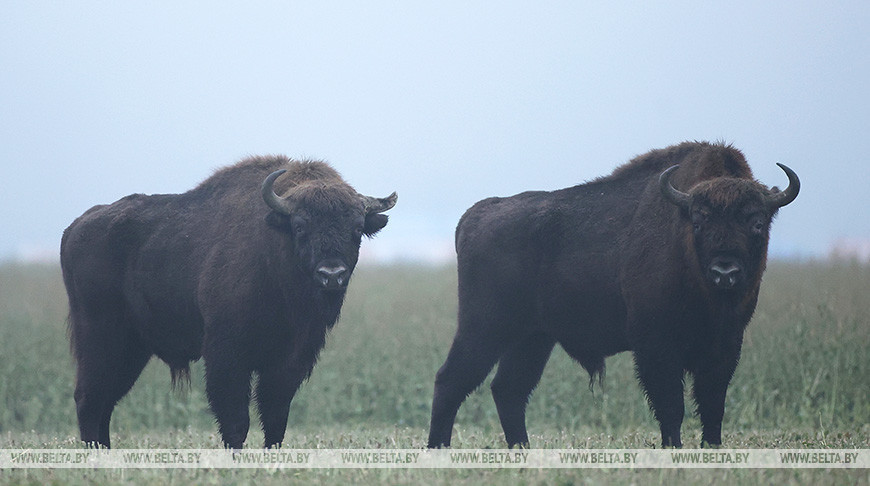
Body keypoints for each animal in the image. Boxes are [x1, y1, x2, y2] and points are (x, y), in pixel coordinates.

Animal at [61, 156, 398, 448]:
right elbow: (236, 419)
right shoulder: (227, 355)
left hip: (132, 351)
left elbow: (275, 417)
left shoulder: (291, 360)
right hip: (102, 340)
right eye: (300, 226)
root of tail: (74, 228)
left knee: (105, 401)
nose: (332, 274)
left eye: (357, 228)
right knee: (89, 398)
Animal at [426, 140, 800, 448]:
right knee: (451, 380)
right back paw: (438, 449)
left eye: (756, 222)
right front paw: (673, 448)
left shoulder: (725, 346)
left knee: (508, 390)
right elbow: (671, 405)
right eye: (699, 220)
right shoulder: (657, 346)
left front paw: (712, 448)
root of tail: (475, 215)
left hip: (532, 339)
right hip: (484, 328)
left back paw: (522, 449)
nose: (725, 272)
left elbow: (712, 404)